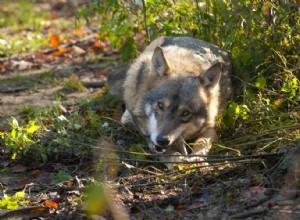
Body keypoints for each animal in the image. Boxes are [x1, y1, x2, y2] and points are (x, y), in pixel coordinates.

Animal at [115, 37, 232, 169]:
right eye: (160, 105)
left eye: (185, 113)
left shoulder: (210, 128)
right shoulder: (149, 137)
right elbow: (168, 153)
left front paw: (196, 158)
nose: (162, 140)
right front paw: (178, 159)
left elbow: (202, 142)